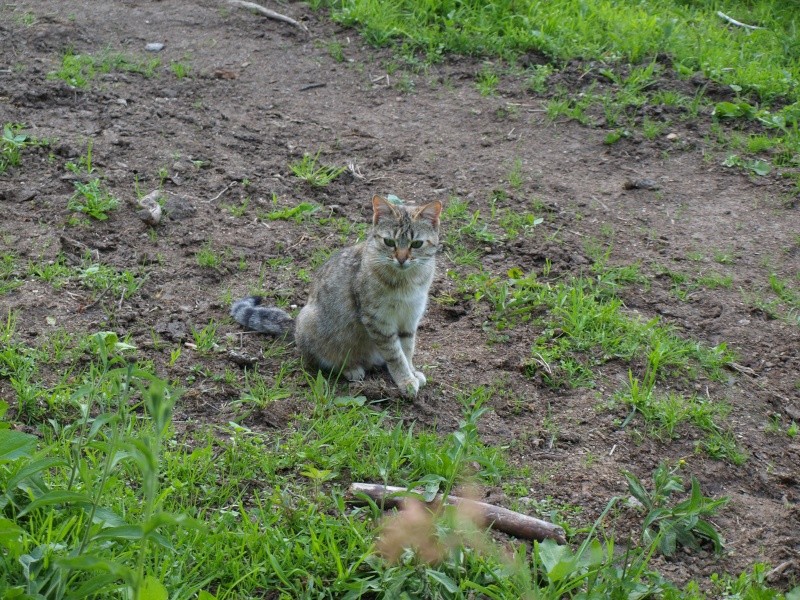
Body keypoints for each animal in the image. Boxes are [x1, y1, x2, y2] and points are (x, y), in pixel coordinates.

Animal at [231, 195, 444, 396]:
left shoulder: (410, 318)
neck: (407, 281)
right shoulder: (378, 320)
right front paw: (405, 380)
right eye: (389, 242)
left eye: (416, 244)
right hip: (315, 327)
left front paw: (412, 372)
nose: (401, 259)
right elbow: (396, 355)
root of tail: (295, 326)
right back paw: (350, 368)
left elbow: (407, 350)